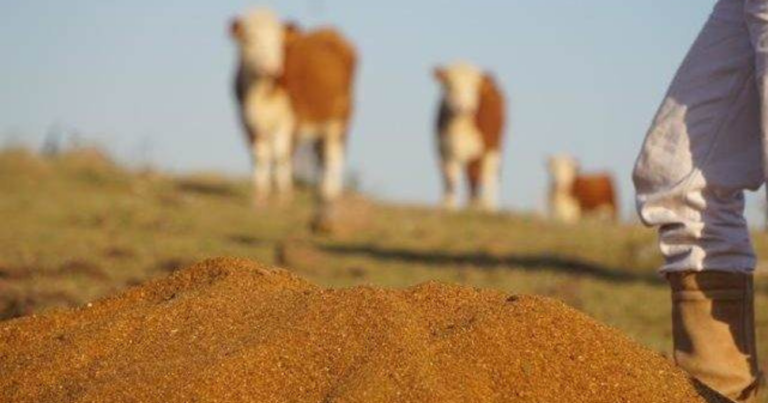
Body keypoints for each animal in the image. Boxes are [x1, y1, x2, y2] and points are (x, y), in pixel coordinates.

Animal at [436, 62, 508, 211]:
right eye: (449, 85)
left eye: (474, 86)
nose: (463, 107)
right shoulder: (444, 149)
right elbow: (450, 178)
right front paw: (448, 205)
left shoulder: (481, 149)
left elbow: (475, 176)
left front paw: (474, 206)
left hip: (493, 148)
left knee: (488, 174)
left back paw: (487, 205)